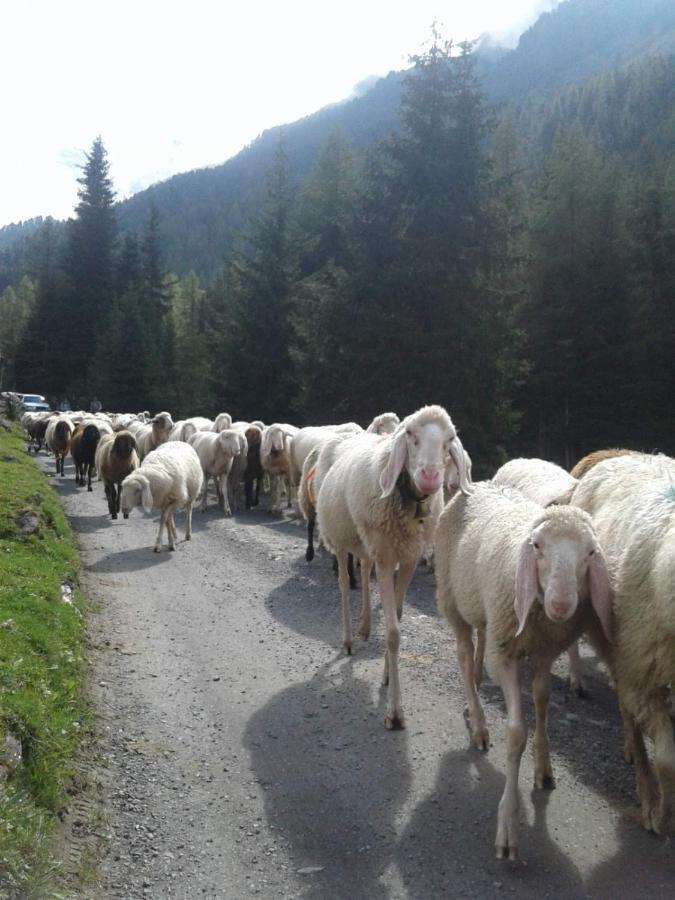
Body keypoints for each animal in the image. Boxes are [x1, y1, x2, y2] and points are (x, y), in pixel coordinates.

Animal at [316, 408, 470, 732]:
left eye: (450, 438)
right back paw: (348, 639)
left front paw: (388, 675)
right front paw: (395, 711)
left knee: (363, 569)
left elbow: (396, 616)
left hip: (365, 543)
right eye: (410, 435)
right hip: (339, 539)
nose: (430, 476)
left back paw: (364, 626)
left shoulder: (407, 557)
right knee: (343, 584)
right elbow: (393, 632)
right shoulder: (387, 559)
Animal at [436, 482, 616, 860]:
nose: (561, 604)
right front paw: (507, 823)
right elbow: (517, 734)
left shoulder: (546, 651)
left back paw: (476, 693)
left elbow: (543, 700)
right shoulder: (505, 656)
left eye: (591, 552)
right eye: (537, 546)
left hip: (482, 605)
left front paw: (544, 767)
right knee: (463, 655)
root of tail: (479, 484)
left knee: (480, 641)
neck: (541, 619)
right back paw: (478, 721)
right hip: (451, 598)